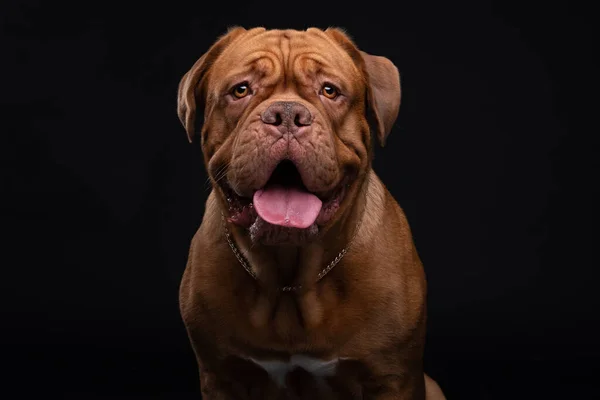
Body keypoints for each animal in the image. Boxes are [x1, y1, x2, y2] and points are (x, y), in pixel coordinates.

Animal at [176, 26, 442, 398]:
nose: (287, 114)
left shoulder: (393, 378)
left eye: (329, 90)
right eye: (241, 89)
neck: (289, 280)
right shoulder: (221, 377)